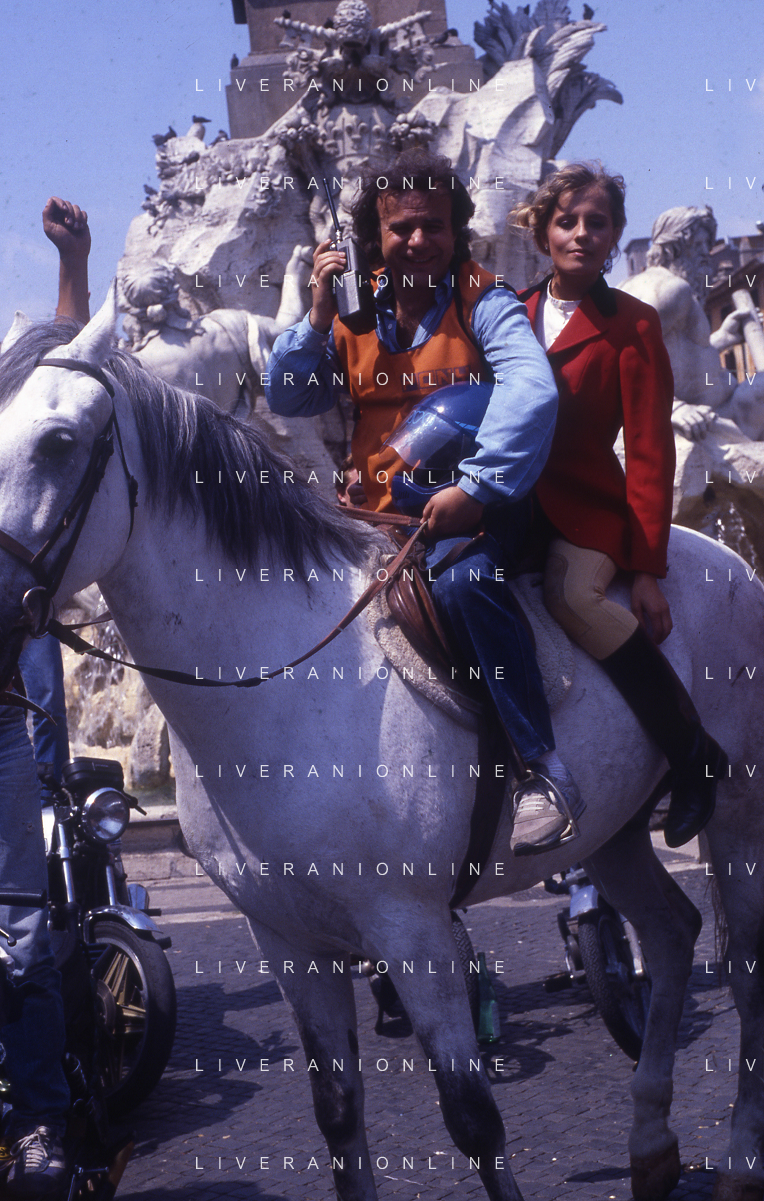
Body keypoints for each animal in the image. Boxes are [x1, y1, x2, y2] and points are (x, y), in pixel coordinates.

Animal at [0, 287, 763, 1201]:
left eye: (57, 442)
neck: (282, 678)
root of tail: (723, 556)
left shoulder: (414, 930)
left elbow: (473, 1118)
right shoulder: (286, 939)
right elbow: (337, 1111)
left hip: (740, 810)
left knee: (746, 966)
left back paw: (740, 1156)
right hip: (610, 830)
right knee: (673, 931)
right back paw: (651, 1143)